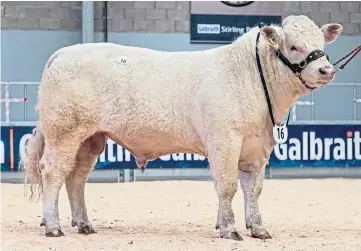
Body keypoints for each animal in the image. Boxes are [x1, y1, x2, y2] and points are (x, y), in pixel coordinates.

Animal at [21, 15, 342, 239]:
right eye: (294, 46)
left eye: (322, 44)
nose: (327, 69)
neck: (251, 76)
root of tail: (65, 53)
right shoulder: (224, 140)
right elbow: (227, 185)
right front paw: (229, 229)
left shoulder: (257, 147)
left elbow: (254, 189)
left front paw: (258, 228)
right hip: (64, 132)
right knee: (53, 172)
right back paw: (53, 226)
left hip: (90, 138)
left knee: (77, 177)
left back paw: (84, 223)